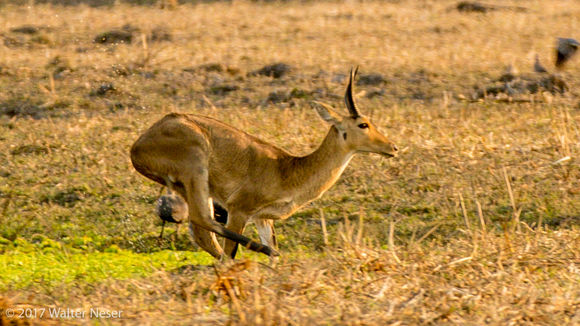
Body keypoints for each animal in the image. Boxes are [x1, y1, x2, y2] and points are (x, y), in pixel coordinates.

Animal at [129, 67, 396, 260]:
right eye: (363, 124)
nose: (392, 147)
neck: (288, 170)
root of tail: (138, 144)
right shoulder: (238, 211)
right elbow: (234, 251)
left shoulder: (263, 218)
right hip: (196, 171)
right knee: (203, 223)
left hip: (188, 186)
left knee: (203, 233)